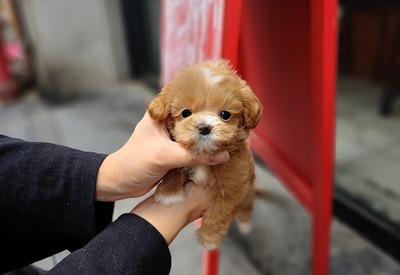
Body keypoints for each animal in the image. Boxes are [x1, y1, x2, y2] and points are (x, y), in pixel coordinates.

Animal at [147, 58, 262, 250]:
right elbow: (173, 167)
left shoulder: (235, 185)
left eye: (225, 114)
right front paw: (169, 193)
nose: (204, 127)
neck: (204, 154)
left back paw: (245, 225)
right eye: (186, 113)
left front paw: (209, 237)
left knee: (247, 208)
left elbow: (219, 212)